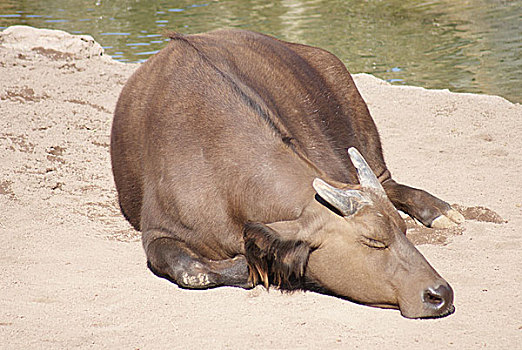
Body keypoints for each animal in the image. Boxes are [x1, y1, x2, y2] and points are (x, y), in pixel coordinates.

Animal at [111, 29, 462, 320]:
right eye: (373, 241)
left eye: (403, 230)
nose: (440, 294)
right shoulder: (158, 234)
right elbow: (193, 271)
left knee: (387, 180)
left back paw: (440, 211)